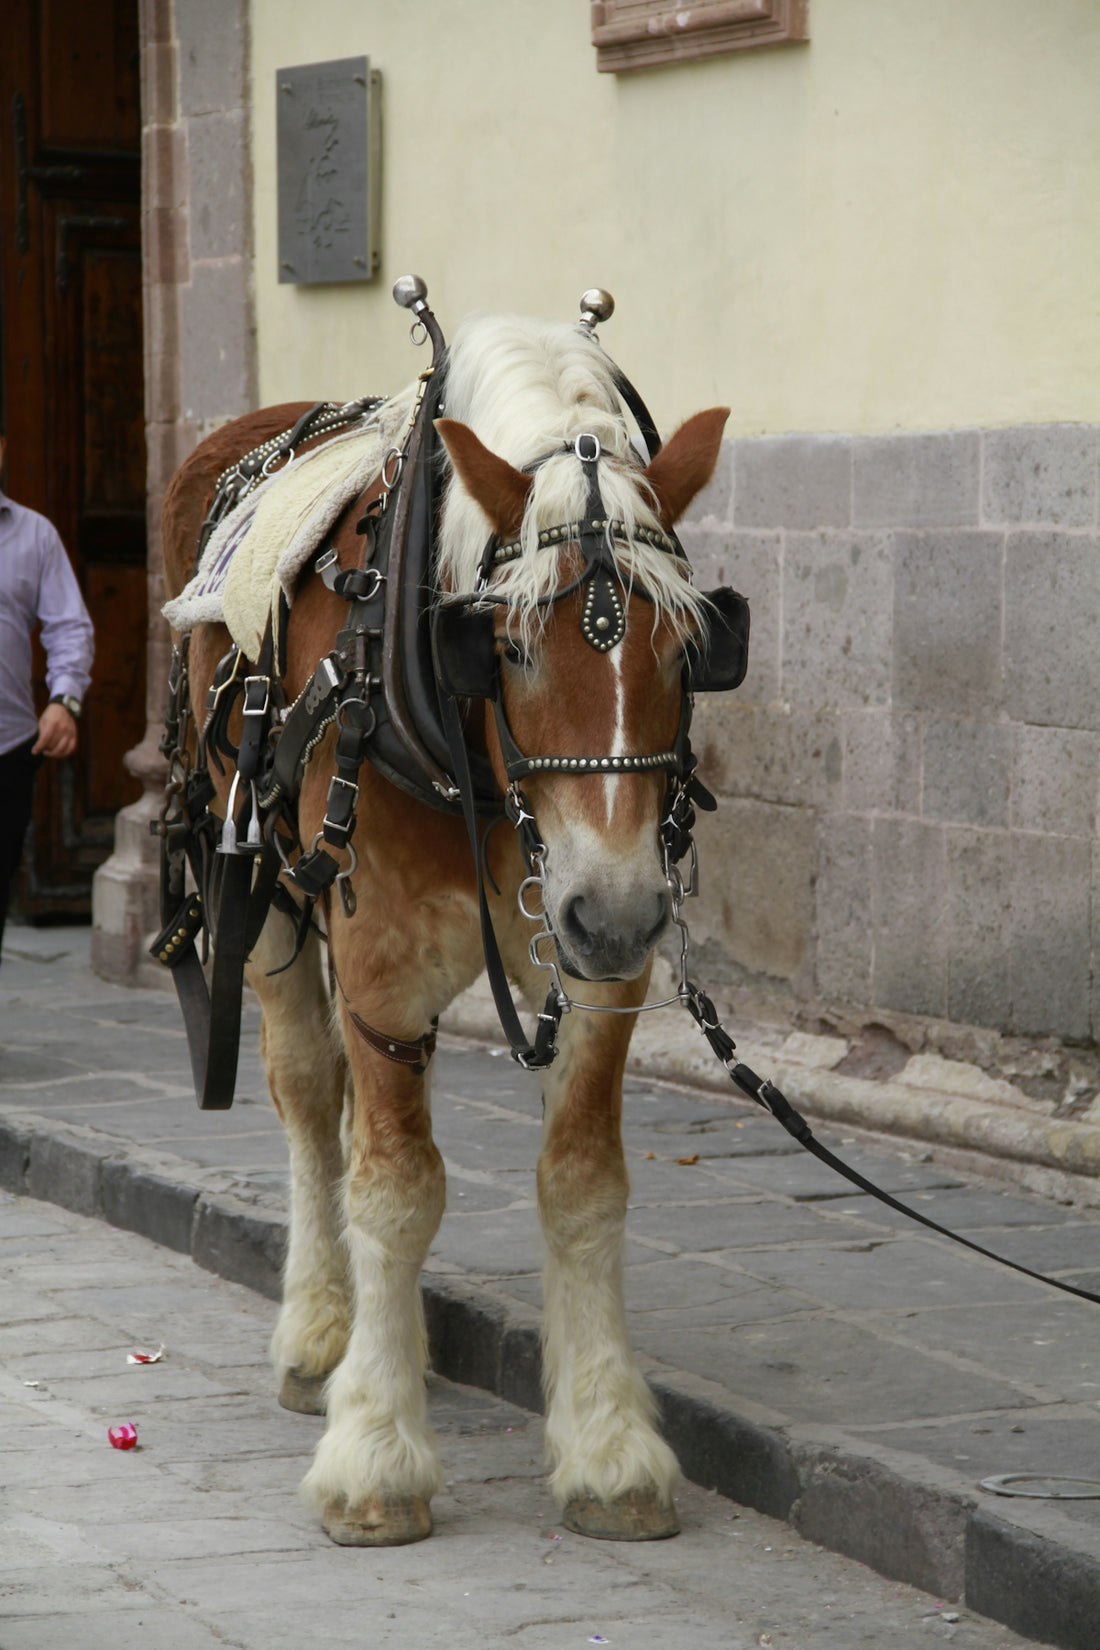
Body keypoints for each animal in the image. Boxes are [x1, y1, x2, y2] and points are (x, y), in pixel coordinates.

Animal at [159, 300, 732, 1547]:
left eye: (685, 648)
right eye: (506, 645)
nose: (617, 909)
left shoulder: (602, 974)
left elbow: (580, 1182)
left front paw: (605, 1445)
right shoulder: (377, 967)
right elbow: (396, 1186)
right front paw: (374, 1452)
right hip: (259, 882)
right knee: (307, 1092)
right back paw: (321, 1333)